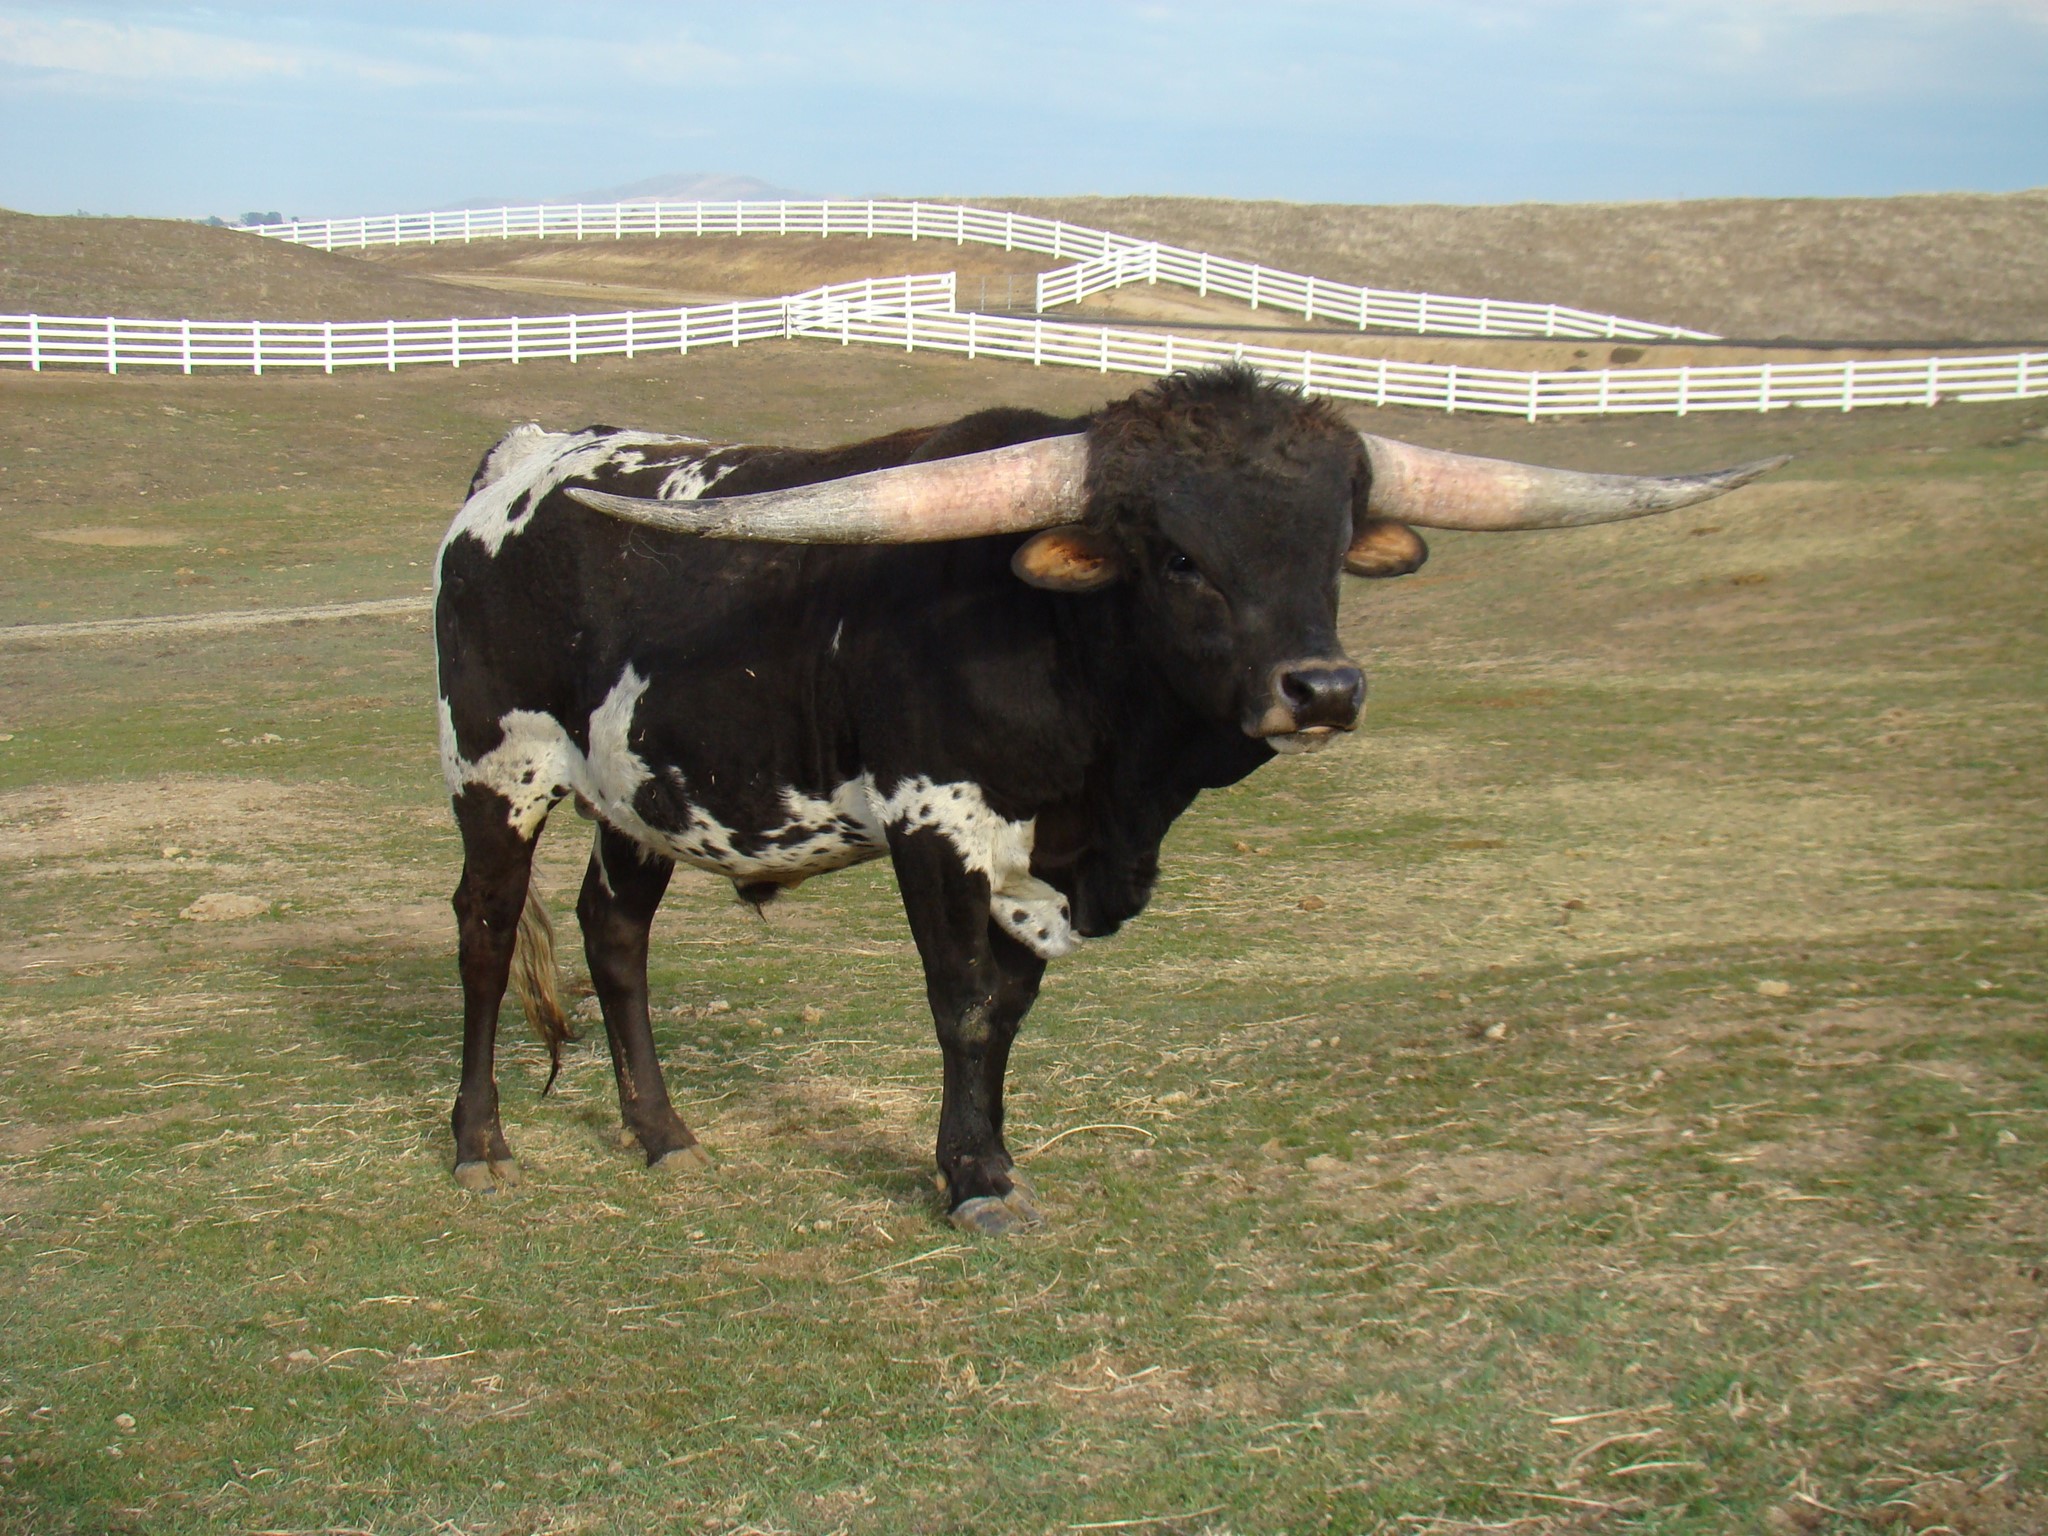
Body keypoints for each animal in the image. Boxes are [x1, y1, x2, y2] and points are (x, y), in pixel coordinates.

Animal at [435, 364, 1782, 1233]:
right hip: (497, 769)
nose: (1324, 689)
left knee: (613, 935)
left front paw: (990, 1157)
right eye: (1177, 556)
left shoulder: (1051, 858)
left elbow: (1014, 1010)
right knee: (487, 933)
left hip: (638, 795)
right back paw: (479, 1143)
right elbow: (966, 1003)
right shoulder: (937, 818)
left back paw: (662, 1136)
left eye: (1328, 549)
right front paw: (973, 1183)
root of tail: (522, 458)